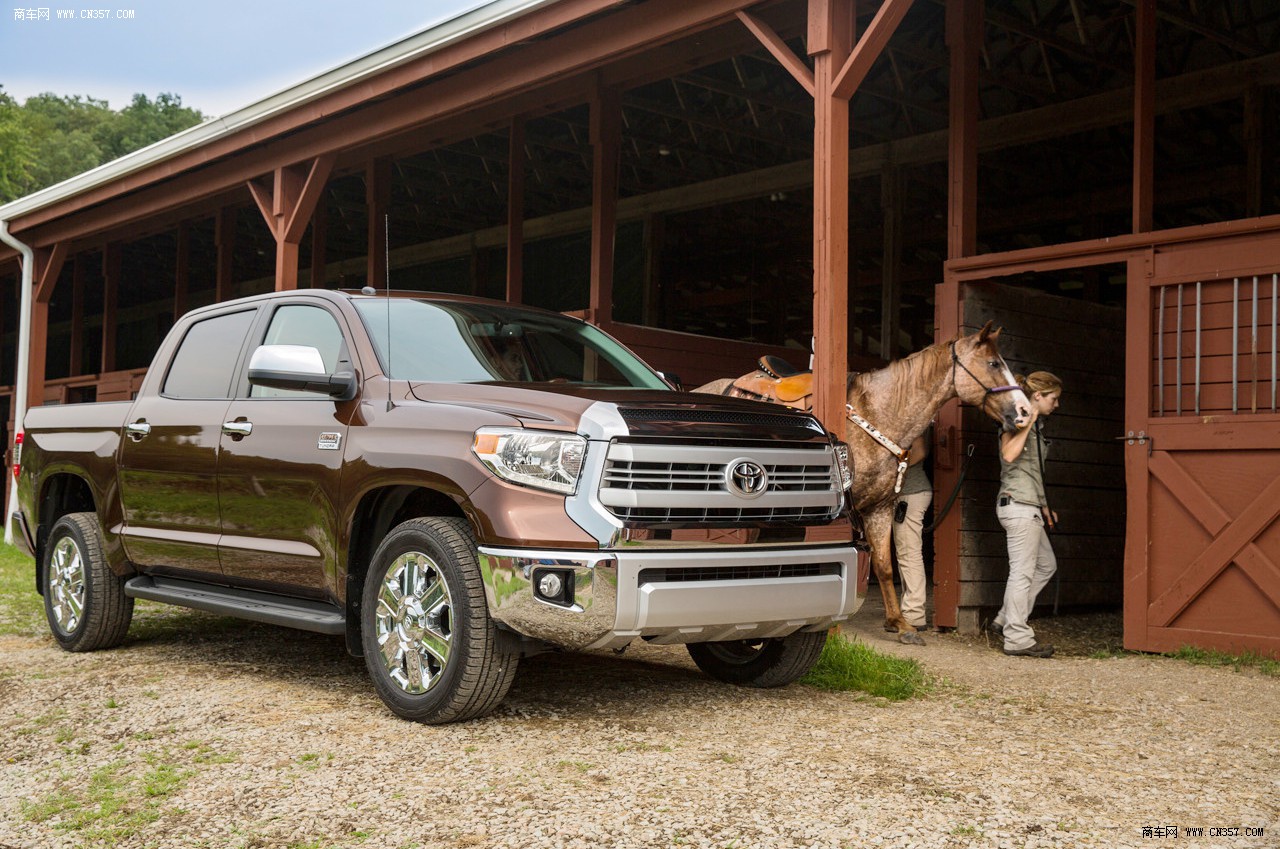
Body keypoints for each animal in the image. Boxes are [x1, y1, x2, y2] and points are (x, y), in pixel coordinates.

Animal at [691, 322, 1029, 647]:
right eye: (993, 363)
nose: (1024, 412)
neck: (877, 414)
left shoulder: (881, 508)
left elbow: (883, 565)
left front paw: (900, 624)